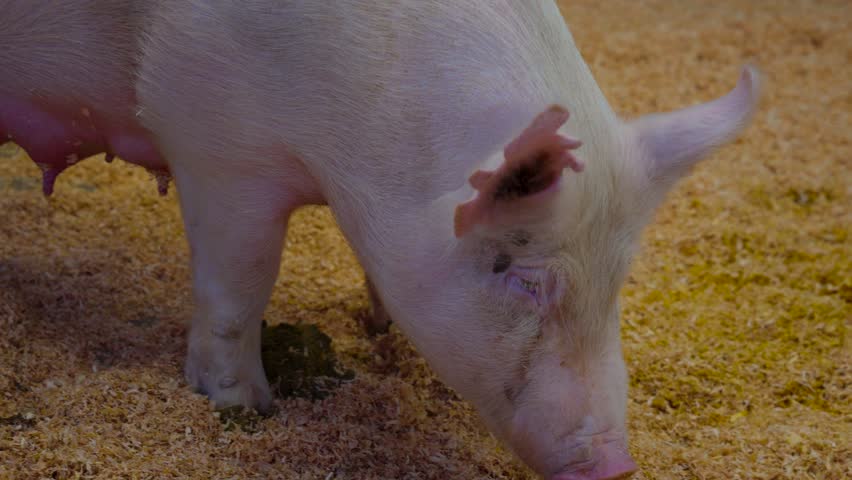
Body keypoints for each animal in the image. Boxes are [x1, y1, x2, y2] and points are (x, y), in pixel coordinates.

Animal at [0, 1, 760, 478]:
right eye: (523, 278)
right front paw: (242, 405)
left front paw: (378, 324)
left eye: (618, 281)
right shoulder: (215, 148)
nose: (616, 465)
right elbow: (239, 287)